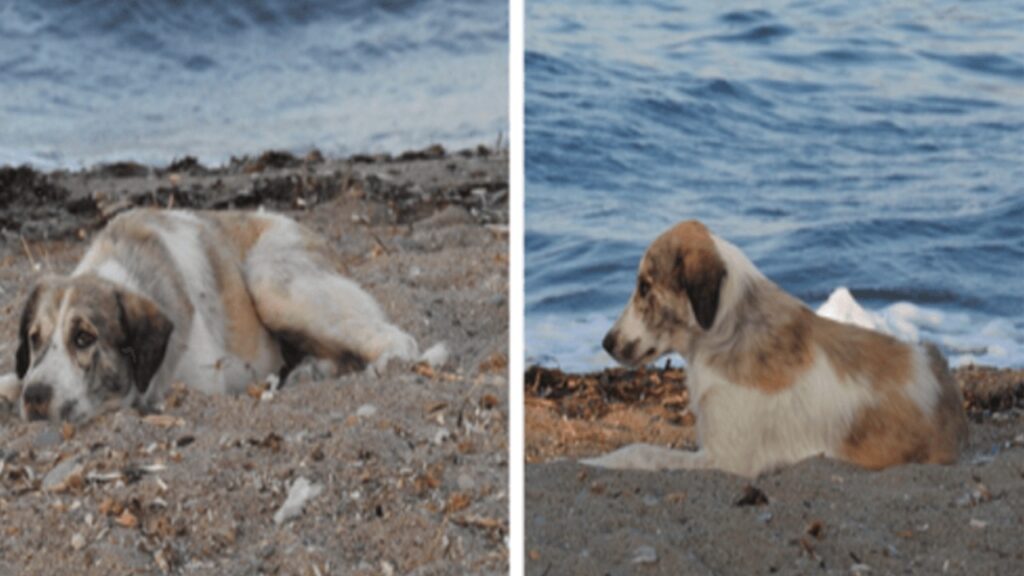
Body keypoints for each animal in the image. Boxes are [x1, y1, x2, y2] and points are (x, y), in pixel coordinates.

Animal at [593, 219, 966, 475]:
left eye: (644, 287)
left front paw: (599, 460)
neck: (727, 331)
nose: (606, 342)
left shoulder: (726, 459)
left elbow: (640, 450)